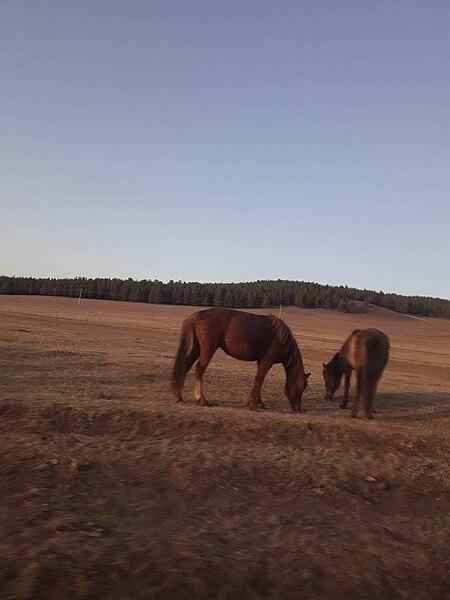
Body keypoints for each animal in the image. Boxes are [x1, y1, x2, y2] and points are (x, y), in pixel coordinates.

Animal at [171, 308, 310, 410]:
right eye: (301, 387)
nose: (298, 407)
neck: (282, 338)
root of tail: (198, 315)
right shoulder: (267, 360)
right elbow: (260, 379)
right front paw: (253, 403)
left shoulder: (261, 361)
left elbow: (259, 379)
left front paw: (258, 403)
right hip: (208, 348)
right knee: (199, 368)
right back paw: (201, 399)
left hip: (197, 348)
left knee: (186, 365)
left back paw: (179, 396)